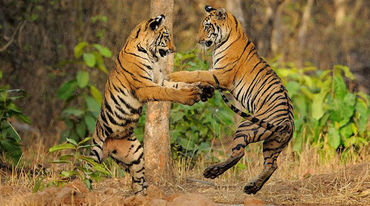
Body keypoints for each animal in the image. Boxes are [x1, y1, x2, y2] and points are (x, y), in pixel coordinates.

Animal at [90, 14, 214, 195]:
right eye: (166, 37)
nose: (174, 50)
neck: (149, 54)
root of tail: (110, 147)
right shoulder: (146, 86)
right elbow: (169, 92)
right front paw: (190, 96)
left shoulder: (160, 80)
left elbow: (178, 85)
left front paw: (204, 88)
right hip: (93, 154)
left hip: (136, 154)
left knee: (137, 183)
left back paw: (143, 196)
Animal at [168, 5, 294, 194]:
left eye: (206, 27)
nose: (198, 40)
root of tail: (287, 122)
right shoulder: (218, 76)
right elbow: (202, 80)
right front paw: (203, 91)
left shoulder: (221, 74)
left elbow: (197, 73)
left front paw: (173, 75)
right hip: (273, 144)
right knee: (271, 165)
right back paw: (252, 187)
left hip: (247, 126)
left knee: (238, 153)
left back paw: (212, 172)